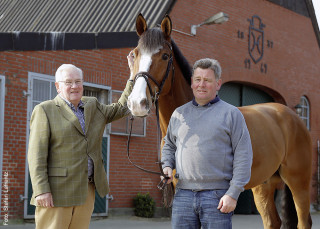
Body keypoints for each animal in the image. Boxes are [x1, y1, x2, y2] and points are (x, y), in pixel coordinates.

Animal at [127, 13, 312, 229]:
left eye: (165, 56)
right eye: (134, 54)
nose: (137, 102)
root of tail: (293, 116)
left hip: (298, 182)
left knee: (303, 221)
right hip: (264, 184)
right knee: (273, 221)